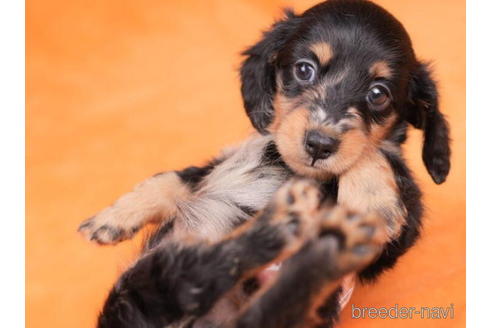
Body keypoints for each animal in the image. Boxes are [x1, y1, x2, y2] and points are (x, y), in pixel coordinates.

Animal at [79, 1, 452, 326]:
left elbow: (374, 152)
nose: (319, 144)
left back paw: (288, 228)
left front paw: (375, 200)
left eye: (378, 94)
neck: (286, 164)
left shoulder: (395, 240)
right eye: (304, 69)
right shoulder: (220, 163)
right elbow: (173, 178)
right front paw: (112, 218)